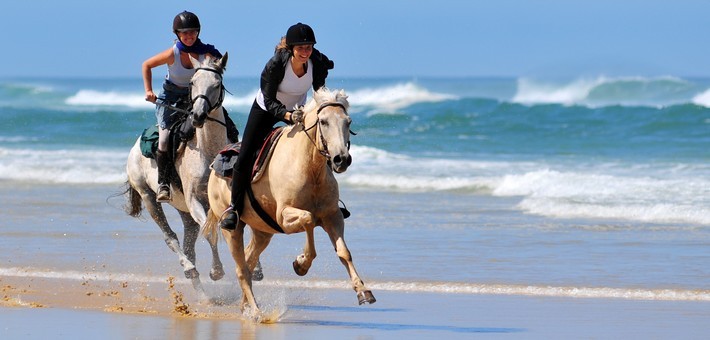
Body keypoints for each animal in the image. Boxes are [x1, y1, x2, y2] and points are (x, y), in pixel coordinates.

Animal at [124, 53, 231, 300]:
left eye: (217, 84)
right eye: (193, 82)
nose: (198, 115)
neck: (208, 150)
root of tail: (135, 147)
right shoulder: (195, 201)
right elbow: (211, 233)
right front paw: (217, 272)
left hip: (184, 212)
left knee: (189, 246)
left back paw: (202, 294)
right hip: (149, 197)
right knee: (171, 238)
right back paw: (190, 270)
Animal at [203, 87, 376, 318]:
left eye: (348, 122)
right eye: (323, 122)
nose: (341, 159)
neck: (310, 168)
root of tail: (215, 166)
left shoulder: (333, 216)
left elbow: (344, 252)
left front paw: (363, 291)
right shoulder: (284, 216)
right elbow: (309, 219)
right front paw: (301, 263)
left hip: (262, 231)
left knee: (248, 261)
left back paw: (246, 306)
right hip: (232, 229)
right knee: (241, 268)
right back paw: (256, 312)